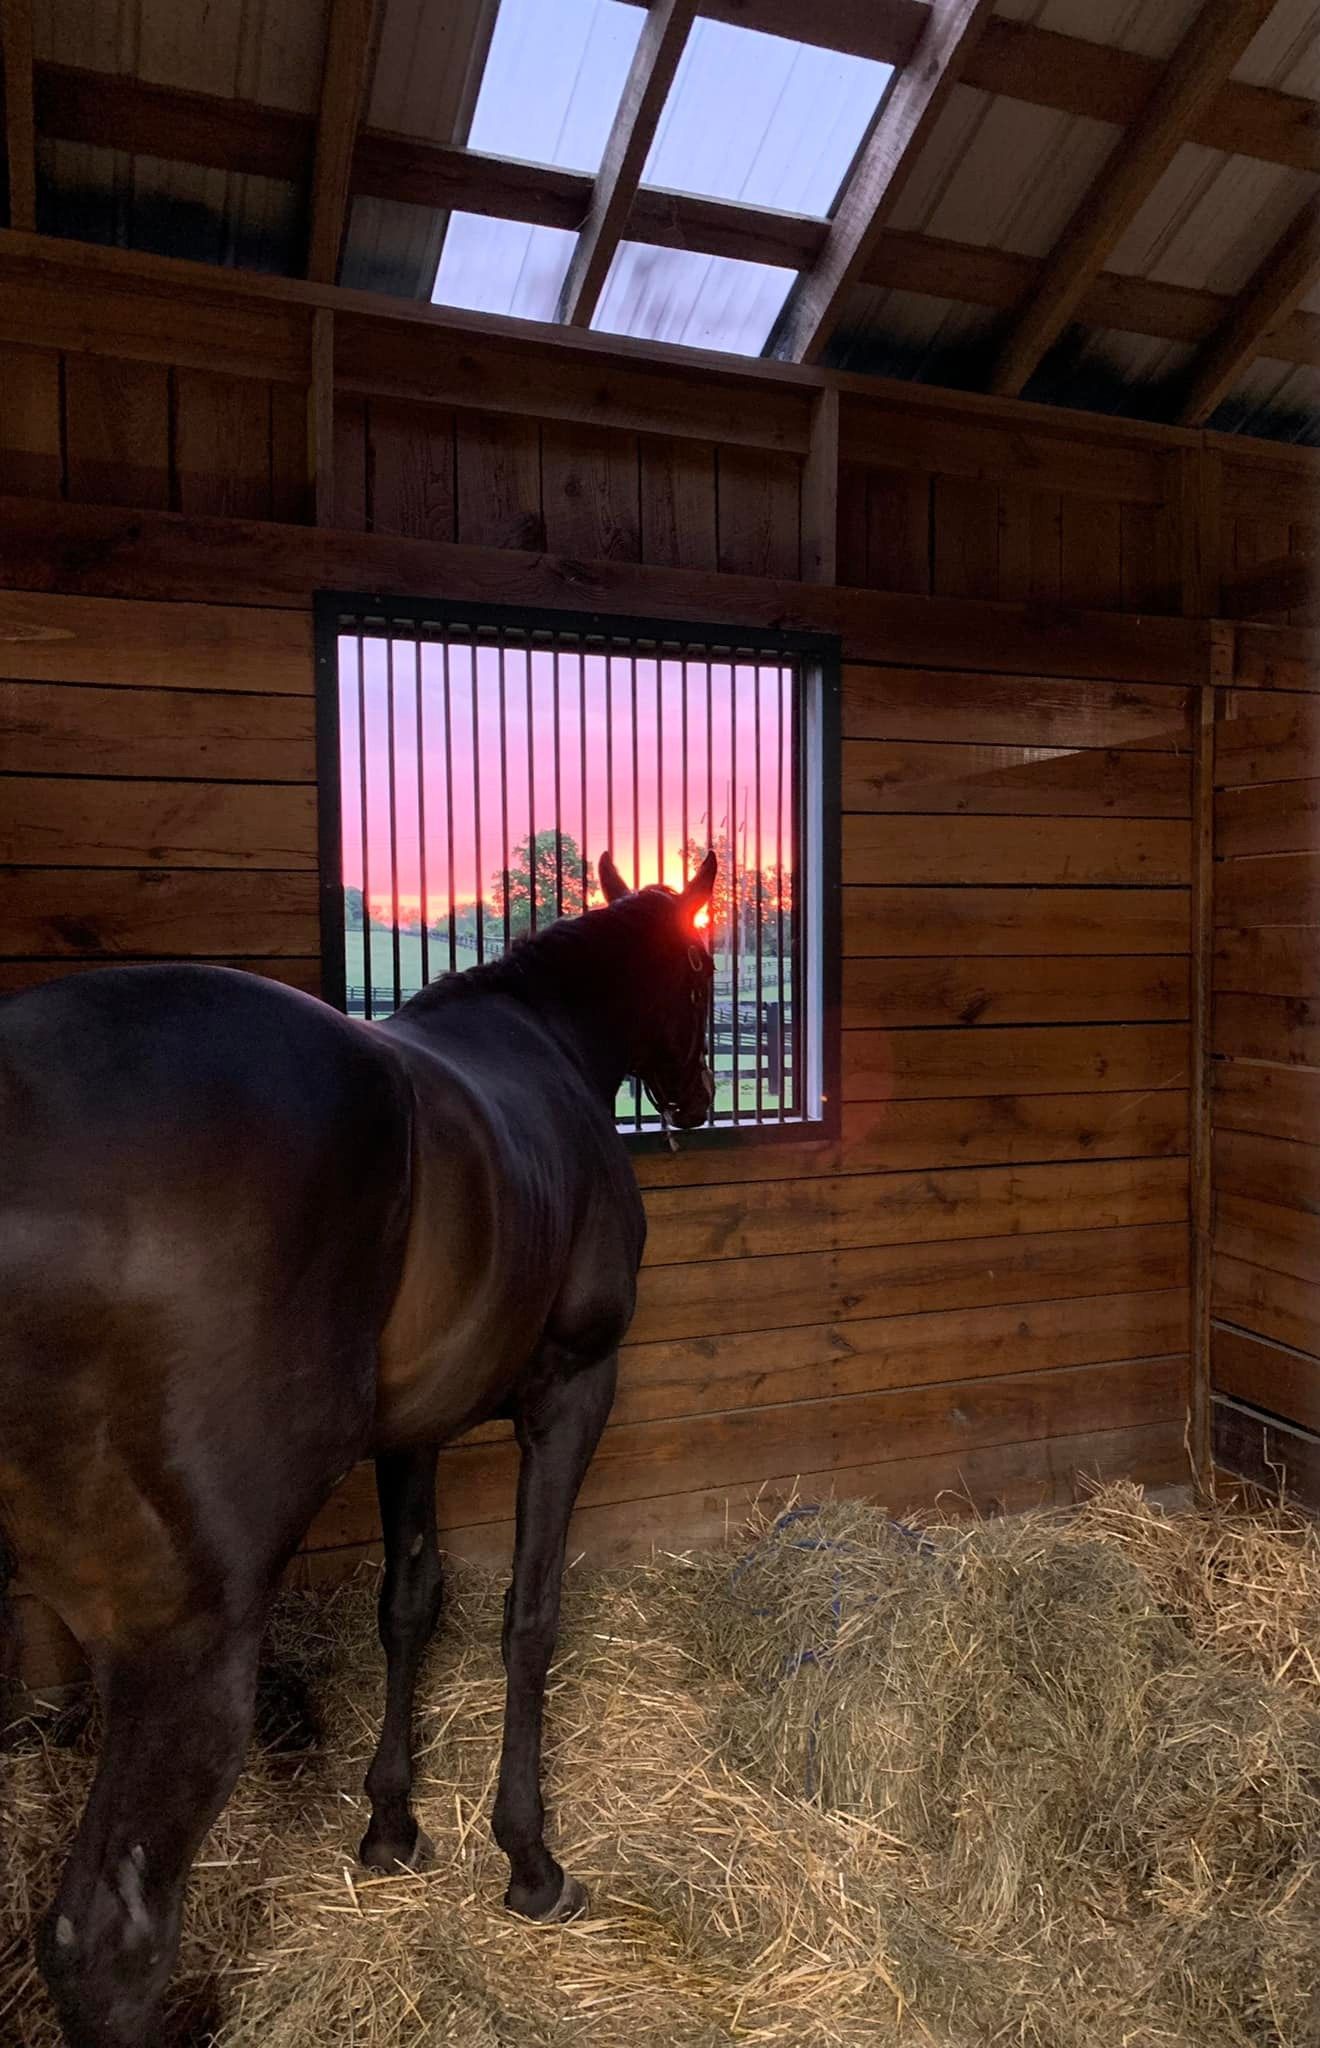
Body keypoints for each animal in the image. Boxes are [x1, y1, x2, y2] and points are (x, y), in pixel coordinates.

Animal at [0, 848, 717, 2048]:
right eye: (706, 967)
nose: (699, 1100)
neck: (546, 1040)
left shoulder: (410, 1432)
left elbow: (408, 1605)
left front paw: (390, 1826)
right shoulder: (573, 1392)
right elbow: (530, 1616)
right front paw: (530, 1860)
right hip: (185, 1641)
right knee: (106, 1943)